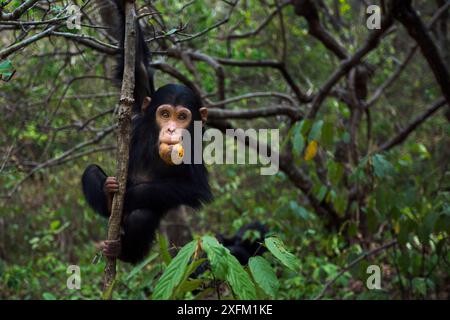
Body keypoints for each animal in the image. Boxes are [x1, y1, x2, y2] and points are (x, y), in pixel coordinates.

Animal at [81, 1, 212, 264]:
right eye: (165, 114)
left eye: (182, 117)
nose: (171, 129)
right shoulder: (143, 101)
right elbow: (139, 67)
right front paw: (124, 6)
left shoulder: (195, 154)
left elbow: (194, 188)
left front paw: (131, 194)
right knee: (91, 172)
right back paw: (108, 197)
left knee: (142, 217)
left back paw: (122, 252)